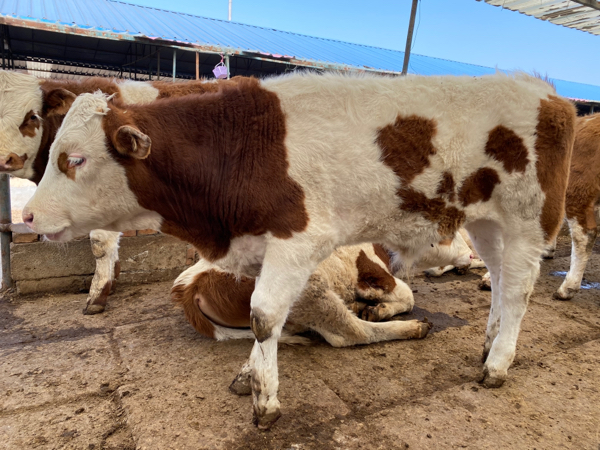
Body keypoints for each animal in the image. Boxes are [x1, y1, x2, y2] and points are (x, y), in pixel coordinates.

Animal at [23, 72, 576, 428]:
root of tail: (549, 94)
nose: (27, 216)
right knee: (499, 280)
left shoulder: (296, 242)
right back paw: (489, 340)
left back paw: (497, 362)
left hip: (527, 221)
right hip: (486, 222)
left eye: (75, 159)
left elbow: (265, 315)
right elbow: (262, 318)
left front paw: (265, 401)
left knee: (518, 289)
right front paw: (250, 373)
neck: (241, 146)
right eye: (52, 152)